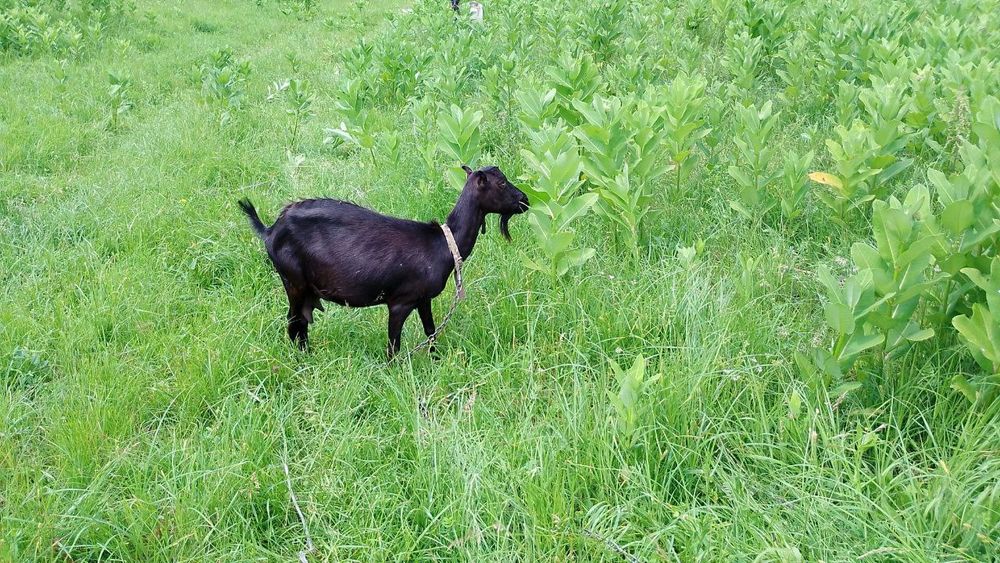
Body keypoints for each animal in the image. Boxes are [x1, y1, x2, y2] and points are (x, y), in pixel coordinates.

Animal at [239, 165, 529, 358]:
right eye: (502, 184)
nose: (525, 200)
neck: (443, 245)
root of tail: (269, 230)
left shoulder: (423, 299)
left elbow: (431, 330)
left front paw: (436, 359)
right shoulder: (399, 302)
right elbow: (393, 344)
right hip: (293, 281)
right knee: (294, 323)